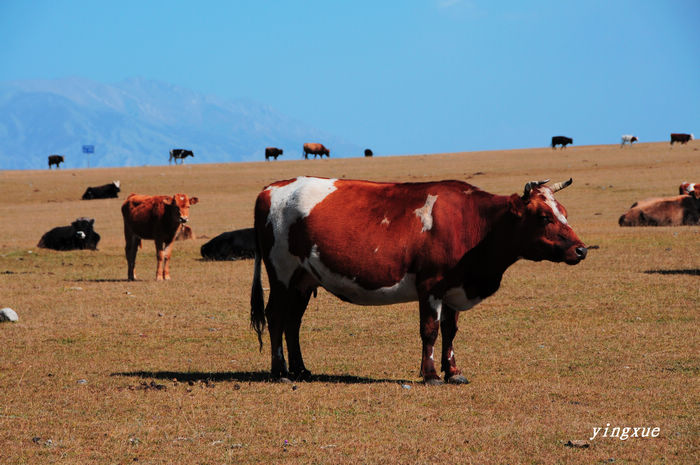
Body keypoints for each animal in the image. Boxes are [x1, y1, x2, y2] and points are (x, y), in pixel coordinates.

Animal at [249, 176, 588, 382]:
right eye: (543, 216)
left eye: (565, 211)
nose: (581, 249)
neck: (477, 224)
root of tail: (271, 188)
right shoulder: (431, 286)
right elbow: (430, 331)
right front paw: (431, 374)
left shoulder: (453, 288)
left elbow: (450, 331)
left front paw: (453, 371)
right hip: (281, 274)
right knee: (276, 317)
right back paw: (280, 371)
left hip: (303, 281)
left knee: (293, 322)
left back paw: (301, 370)